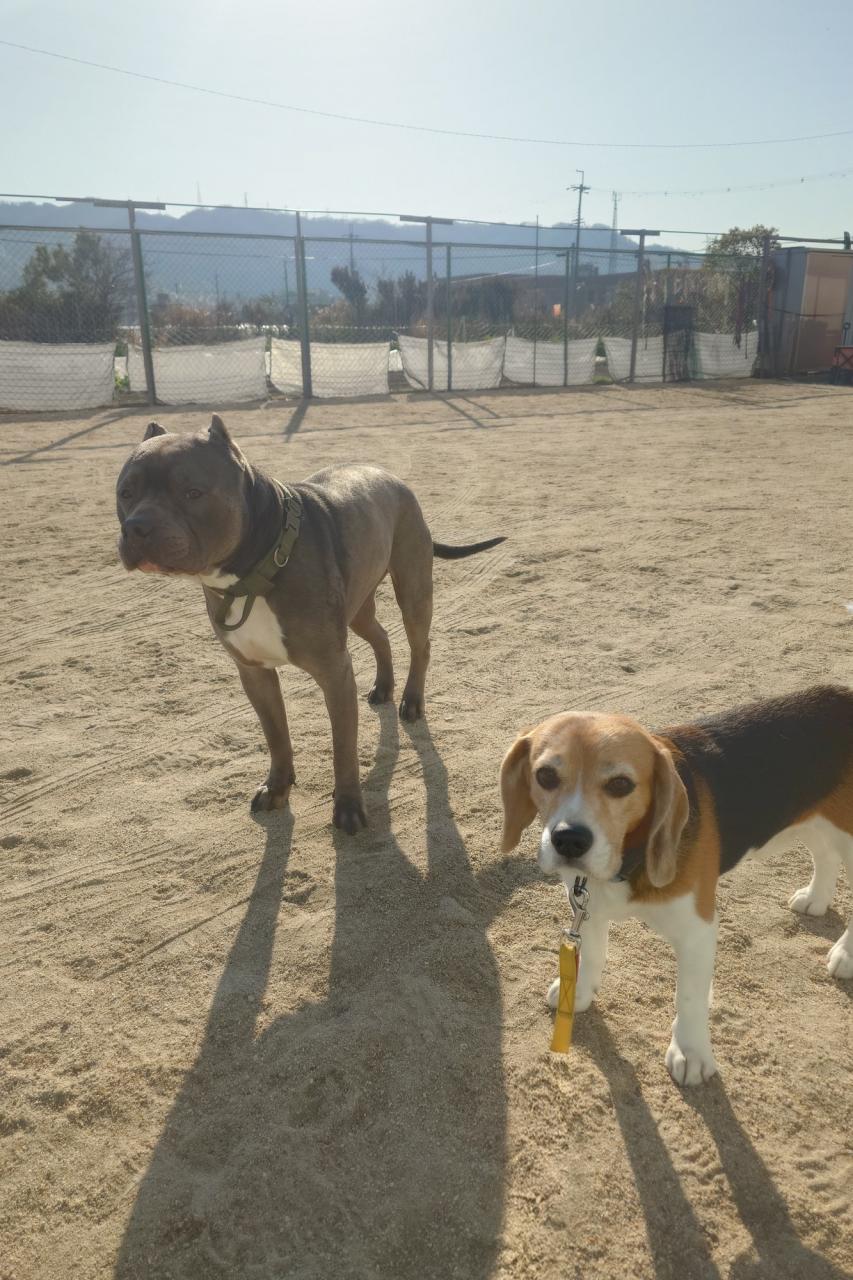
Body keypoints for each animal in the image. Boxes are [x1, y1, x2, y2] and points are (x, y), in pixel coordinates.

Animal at [116, 415, 504, 832]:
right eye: (125, 493)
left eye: (192, 492)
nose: (137, 526)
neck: (255, 569)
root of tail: (389, 475)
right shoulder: (254, 674)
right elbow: (276, 736)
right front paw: (277, 789)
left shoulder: (334, 671)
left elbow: (342, 747)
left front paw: (348, 807)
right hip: (359, 610)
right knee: (381, 636)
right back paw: (384, 687)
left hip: (413, 590)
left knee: (421, 644)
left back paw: (412, 700)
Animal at [499, 685, 853, 1084]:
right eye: (545, 775)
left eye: (620, 784)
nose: (569, 840)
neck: (627, 859)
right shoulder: (586, 905)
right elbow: (591, 954)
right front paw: (577, 994)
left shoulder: (697, 931)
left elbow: (690, 997)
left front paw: (690, 1051)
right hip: (815, 821)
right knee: (825, 854)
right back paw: (815, 898)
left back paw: (845, 954)